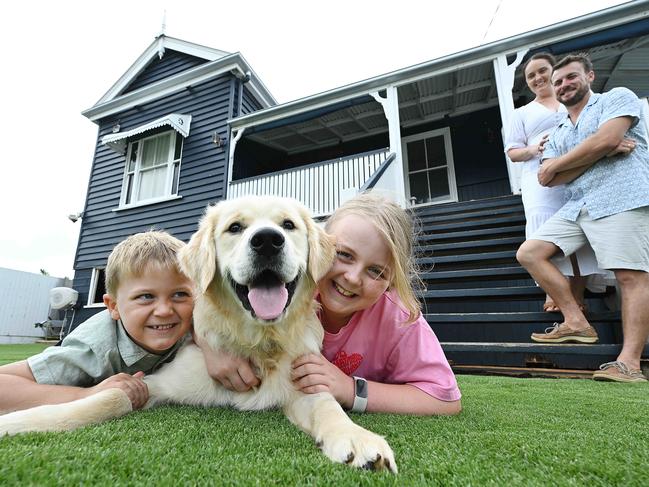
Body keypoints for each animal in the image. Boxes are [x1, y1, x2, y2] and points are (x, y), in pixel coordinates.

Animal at [0, 196, 394, 474]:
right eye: (235, 227)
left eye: (288, 224)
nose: (268, 241)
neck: (257, 341)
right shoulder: (156, 381)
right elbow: (110, 397)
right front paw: (22, 422)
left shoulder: (303, 385)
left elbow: (328, 406)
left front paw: (357, 437)